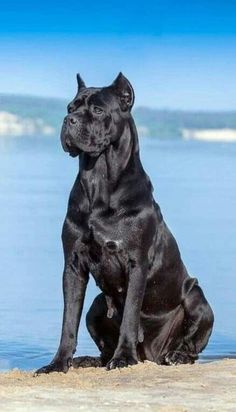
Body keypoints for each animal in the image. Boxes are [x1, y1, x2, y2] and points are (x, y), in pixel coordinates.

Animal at [35, 73, 214, 374]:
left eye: (97, 110)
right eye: (71, 108)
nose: (68, 120)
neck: (98, 179)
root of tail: (151, 354)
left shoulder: (136, 263)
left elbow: (130, 315)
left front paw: (124, 358)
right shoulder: (72, 265)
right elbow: (68, 320)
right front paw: (58, 363)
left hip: (197, 297)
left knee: (192, 346)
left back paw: (175, 355)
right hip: (96, 306)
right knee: (99, 338)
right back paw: (89, 360)